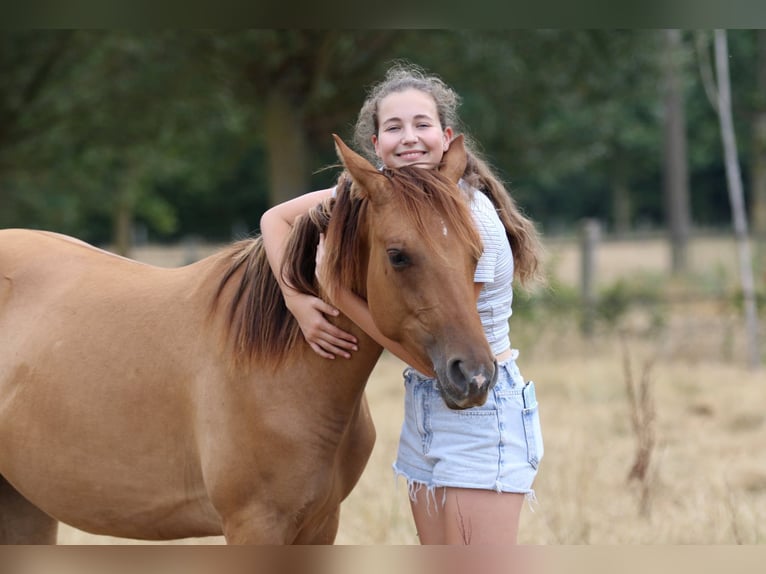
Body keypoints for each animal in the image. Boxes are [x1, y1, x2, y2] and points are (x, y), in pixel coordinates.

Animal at [0, 135, 497, 544]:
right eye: (398, 255)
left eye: (476, 251)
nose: (473, 375)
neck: (280, 367)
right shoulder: (255, 526)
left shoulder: (320, 526)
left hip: (26, 507)